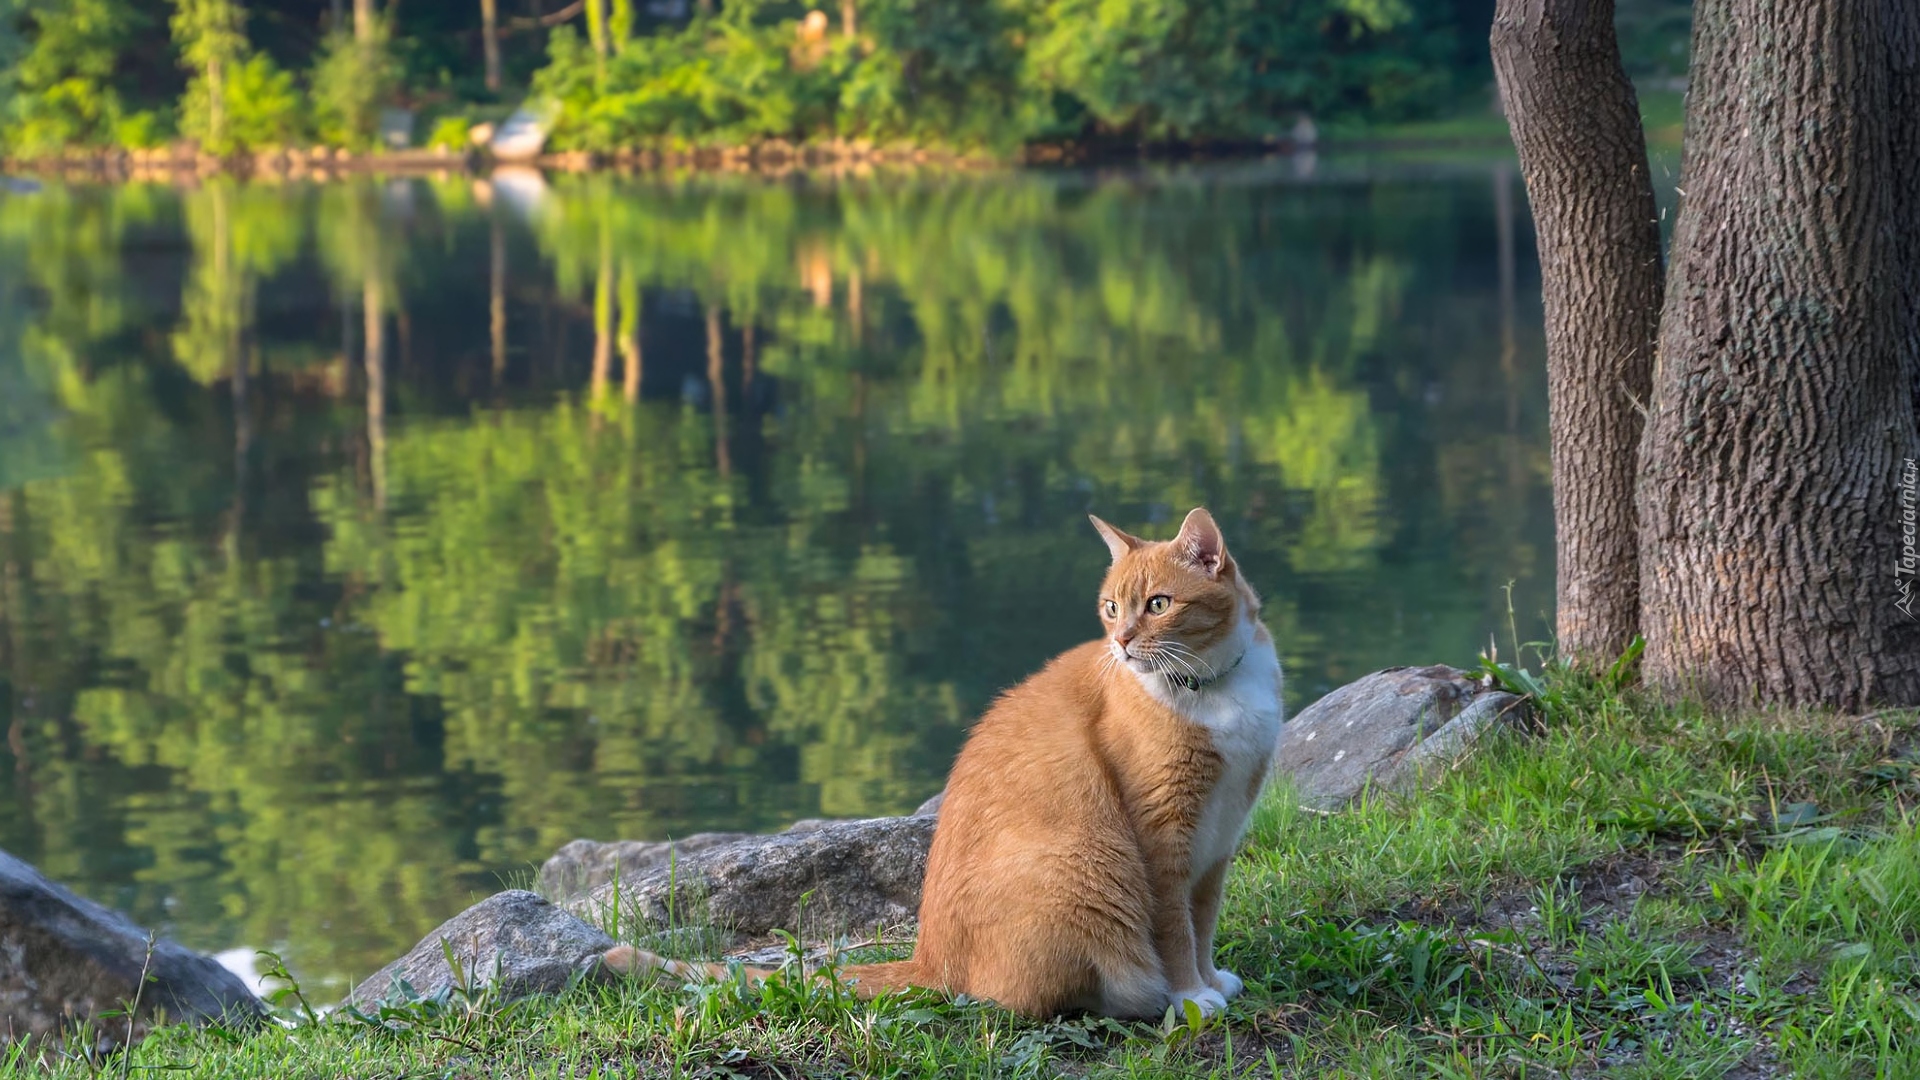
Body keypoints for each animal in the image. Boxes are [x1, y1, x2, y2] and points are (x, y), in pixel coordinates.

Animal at [606, 507, 1282, 1014]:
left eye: (1160, 604)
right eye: (1112, 608)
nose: (1120, 643)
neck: (1213, 687)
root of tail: (929, 958)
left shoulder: (1217, 840)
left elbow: (1203, 922)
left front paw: (1210, 979)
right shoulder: (1163, 839)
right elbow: (1174, 930)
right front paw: (1190, 996)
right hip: (1083, 866)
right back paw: (1141, 998)